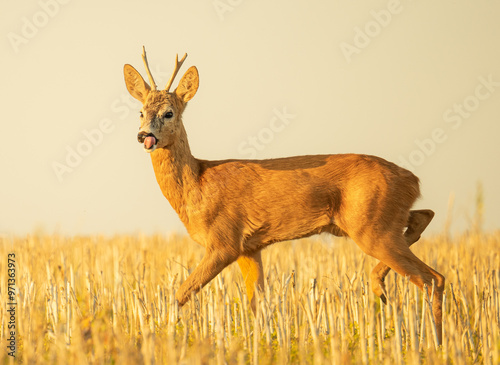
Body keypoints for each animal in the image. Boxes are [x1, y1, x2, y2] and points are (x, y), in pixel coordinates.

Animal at [124, 48, 446, 344]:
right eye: (140, 112)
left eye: (169, 113)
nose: (144, 136)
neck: (197, 184)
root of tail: (412, 179)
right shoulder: (249, 247)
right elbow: (257, 304)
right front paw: (261, 342)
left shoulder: (224, 242)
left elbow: (179, 293)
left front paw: (161, 334)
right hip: (379, 221)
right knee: (424, 219)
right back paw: (380, 286)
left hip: (371, 226)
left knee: (433, 278)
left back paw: (433, 340)